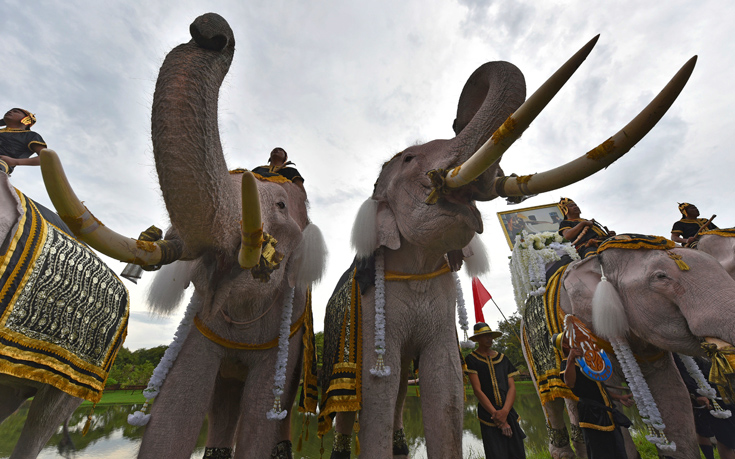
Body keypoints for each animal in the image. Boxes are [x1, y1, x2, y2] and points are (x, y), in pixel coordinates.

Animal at [316, 35, 696, 456]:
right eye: (410, 158)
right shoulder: (370, 308)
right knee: (355, 400)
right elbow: (378, 387)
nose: (457, 119)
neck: (417, 264)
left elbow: (447, 384)